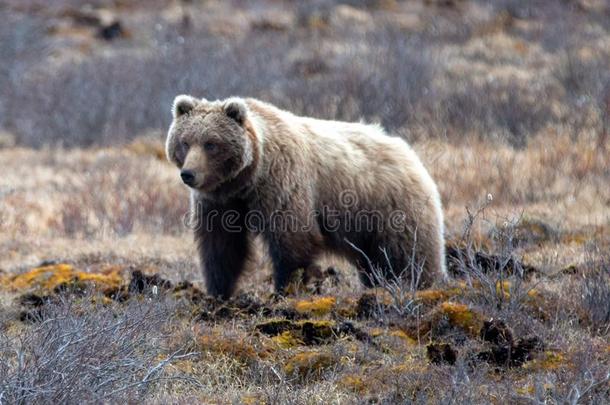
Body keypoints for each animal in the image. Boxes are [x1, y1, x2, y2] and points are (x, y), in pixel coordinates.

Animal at [164, 94, 444, 296]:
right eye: (185, 142)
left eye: (211, 143)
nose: (189, 174)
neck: (247, 179)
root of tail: (409, 152)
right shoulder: (220, 202)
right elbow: (221, 246)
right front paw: (217, 292)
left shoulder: (282, 183)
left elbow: (293, 240)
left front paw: (285, 289)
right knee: (375, 263)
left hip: (392, 208)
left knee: (408, 256)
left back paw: (422, 285)